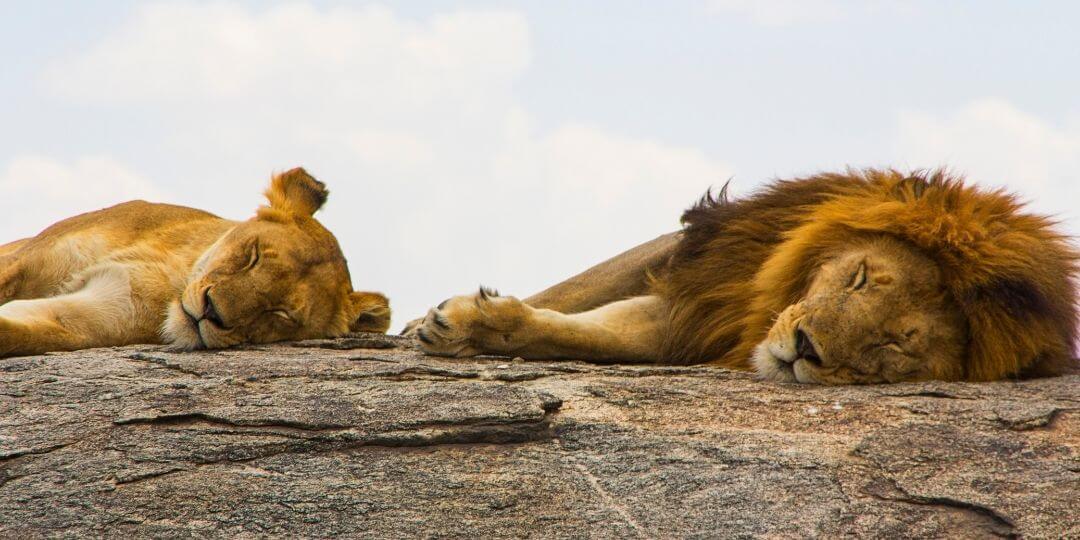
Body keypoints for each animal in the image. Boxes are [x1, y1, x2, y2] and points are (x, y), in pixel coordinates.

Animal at [0, 167, 391, 358]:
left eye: (280, 314)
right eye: (253, 255)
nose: (211, 311)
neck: (174, 274)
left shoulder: (84, 321)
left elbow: (21, 332)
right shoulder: (25, 261)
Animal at [410, 169, 1078, 384]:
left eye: (896, 344)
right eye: (861, 278)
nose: (804, 347)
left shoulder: (687, 325)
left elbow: (589, 334)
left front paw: (469, 325)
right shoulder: (700, 275)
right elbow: (572, 298)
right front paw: (450, 324)